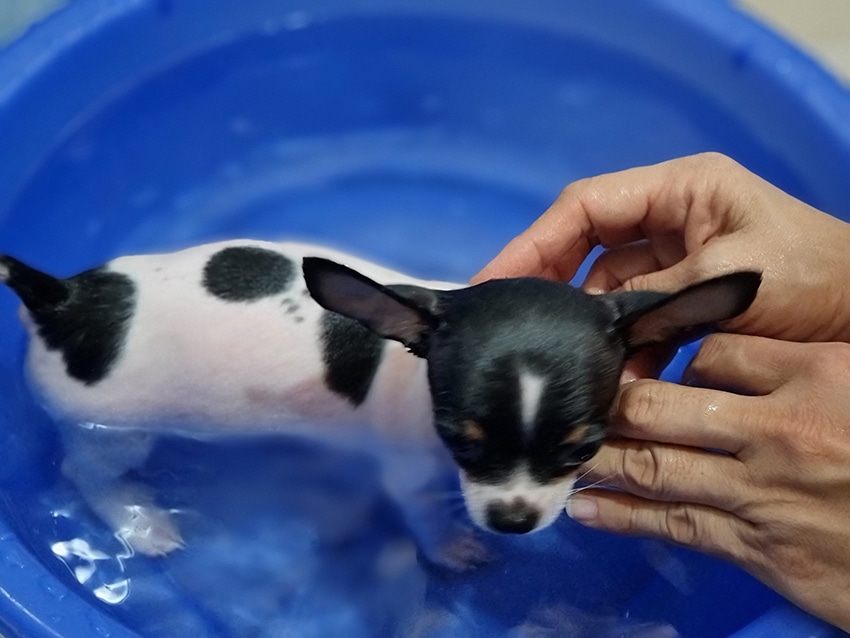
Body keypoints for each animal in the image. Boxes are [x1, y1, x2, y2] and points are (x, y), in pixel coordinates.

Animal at [0, 241, 760, 568]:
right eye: (460, 440)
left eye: (584, 448)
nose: (512, 521)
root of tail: (60, 300)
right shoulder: (412, 474)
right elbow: (424, 515)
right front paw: (451, 548)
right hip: (115, 430)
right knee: (85, 471)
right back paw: (140, 521)